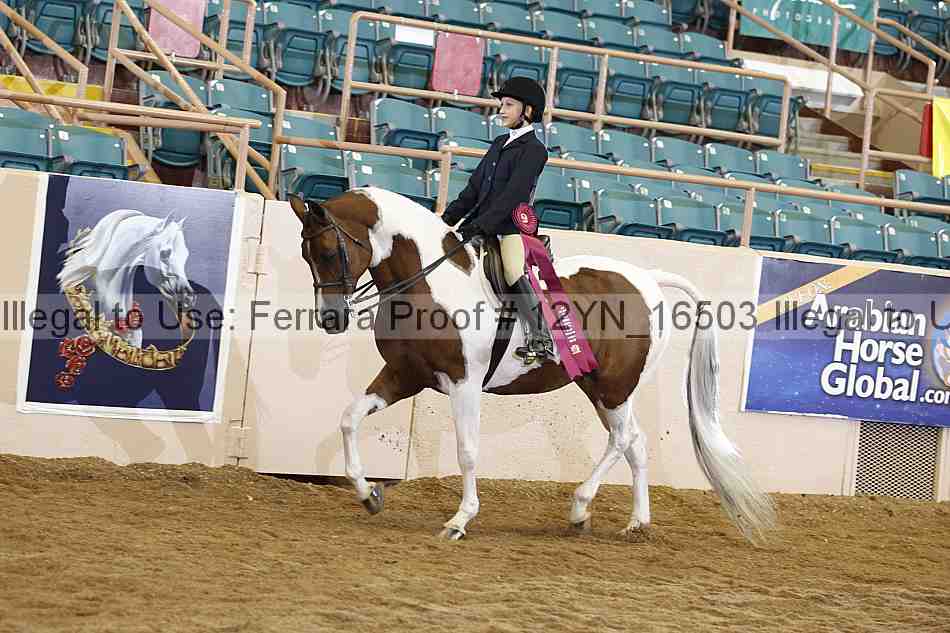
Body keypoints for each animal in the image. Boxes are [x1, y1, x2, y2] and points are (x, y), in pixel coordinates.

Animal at [287, 187, 776, 544]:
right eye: (306, 256)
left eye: (329, 252)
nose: (331, 319)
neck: (432, 283)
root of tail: (648, 279)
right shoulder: (405, 375)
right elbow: (349, 418)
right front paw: (368, 493)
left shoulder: (463, 384)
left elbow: (467, 452)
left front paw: (459, 520)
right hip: (599, 388)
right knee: (634, 443)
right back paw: (636, 524)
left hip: (614, 386)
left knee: (623, 439)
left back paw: (579, 507)